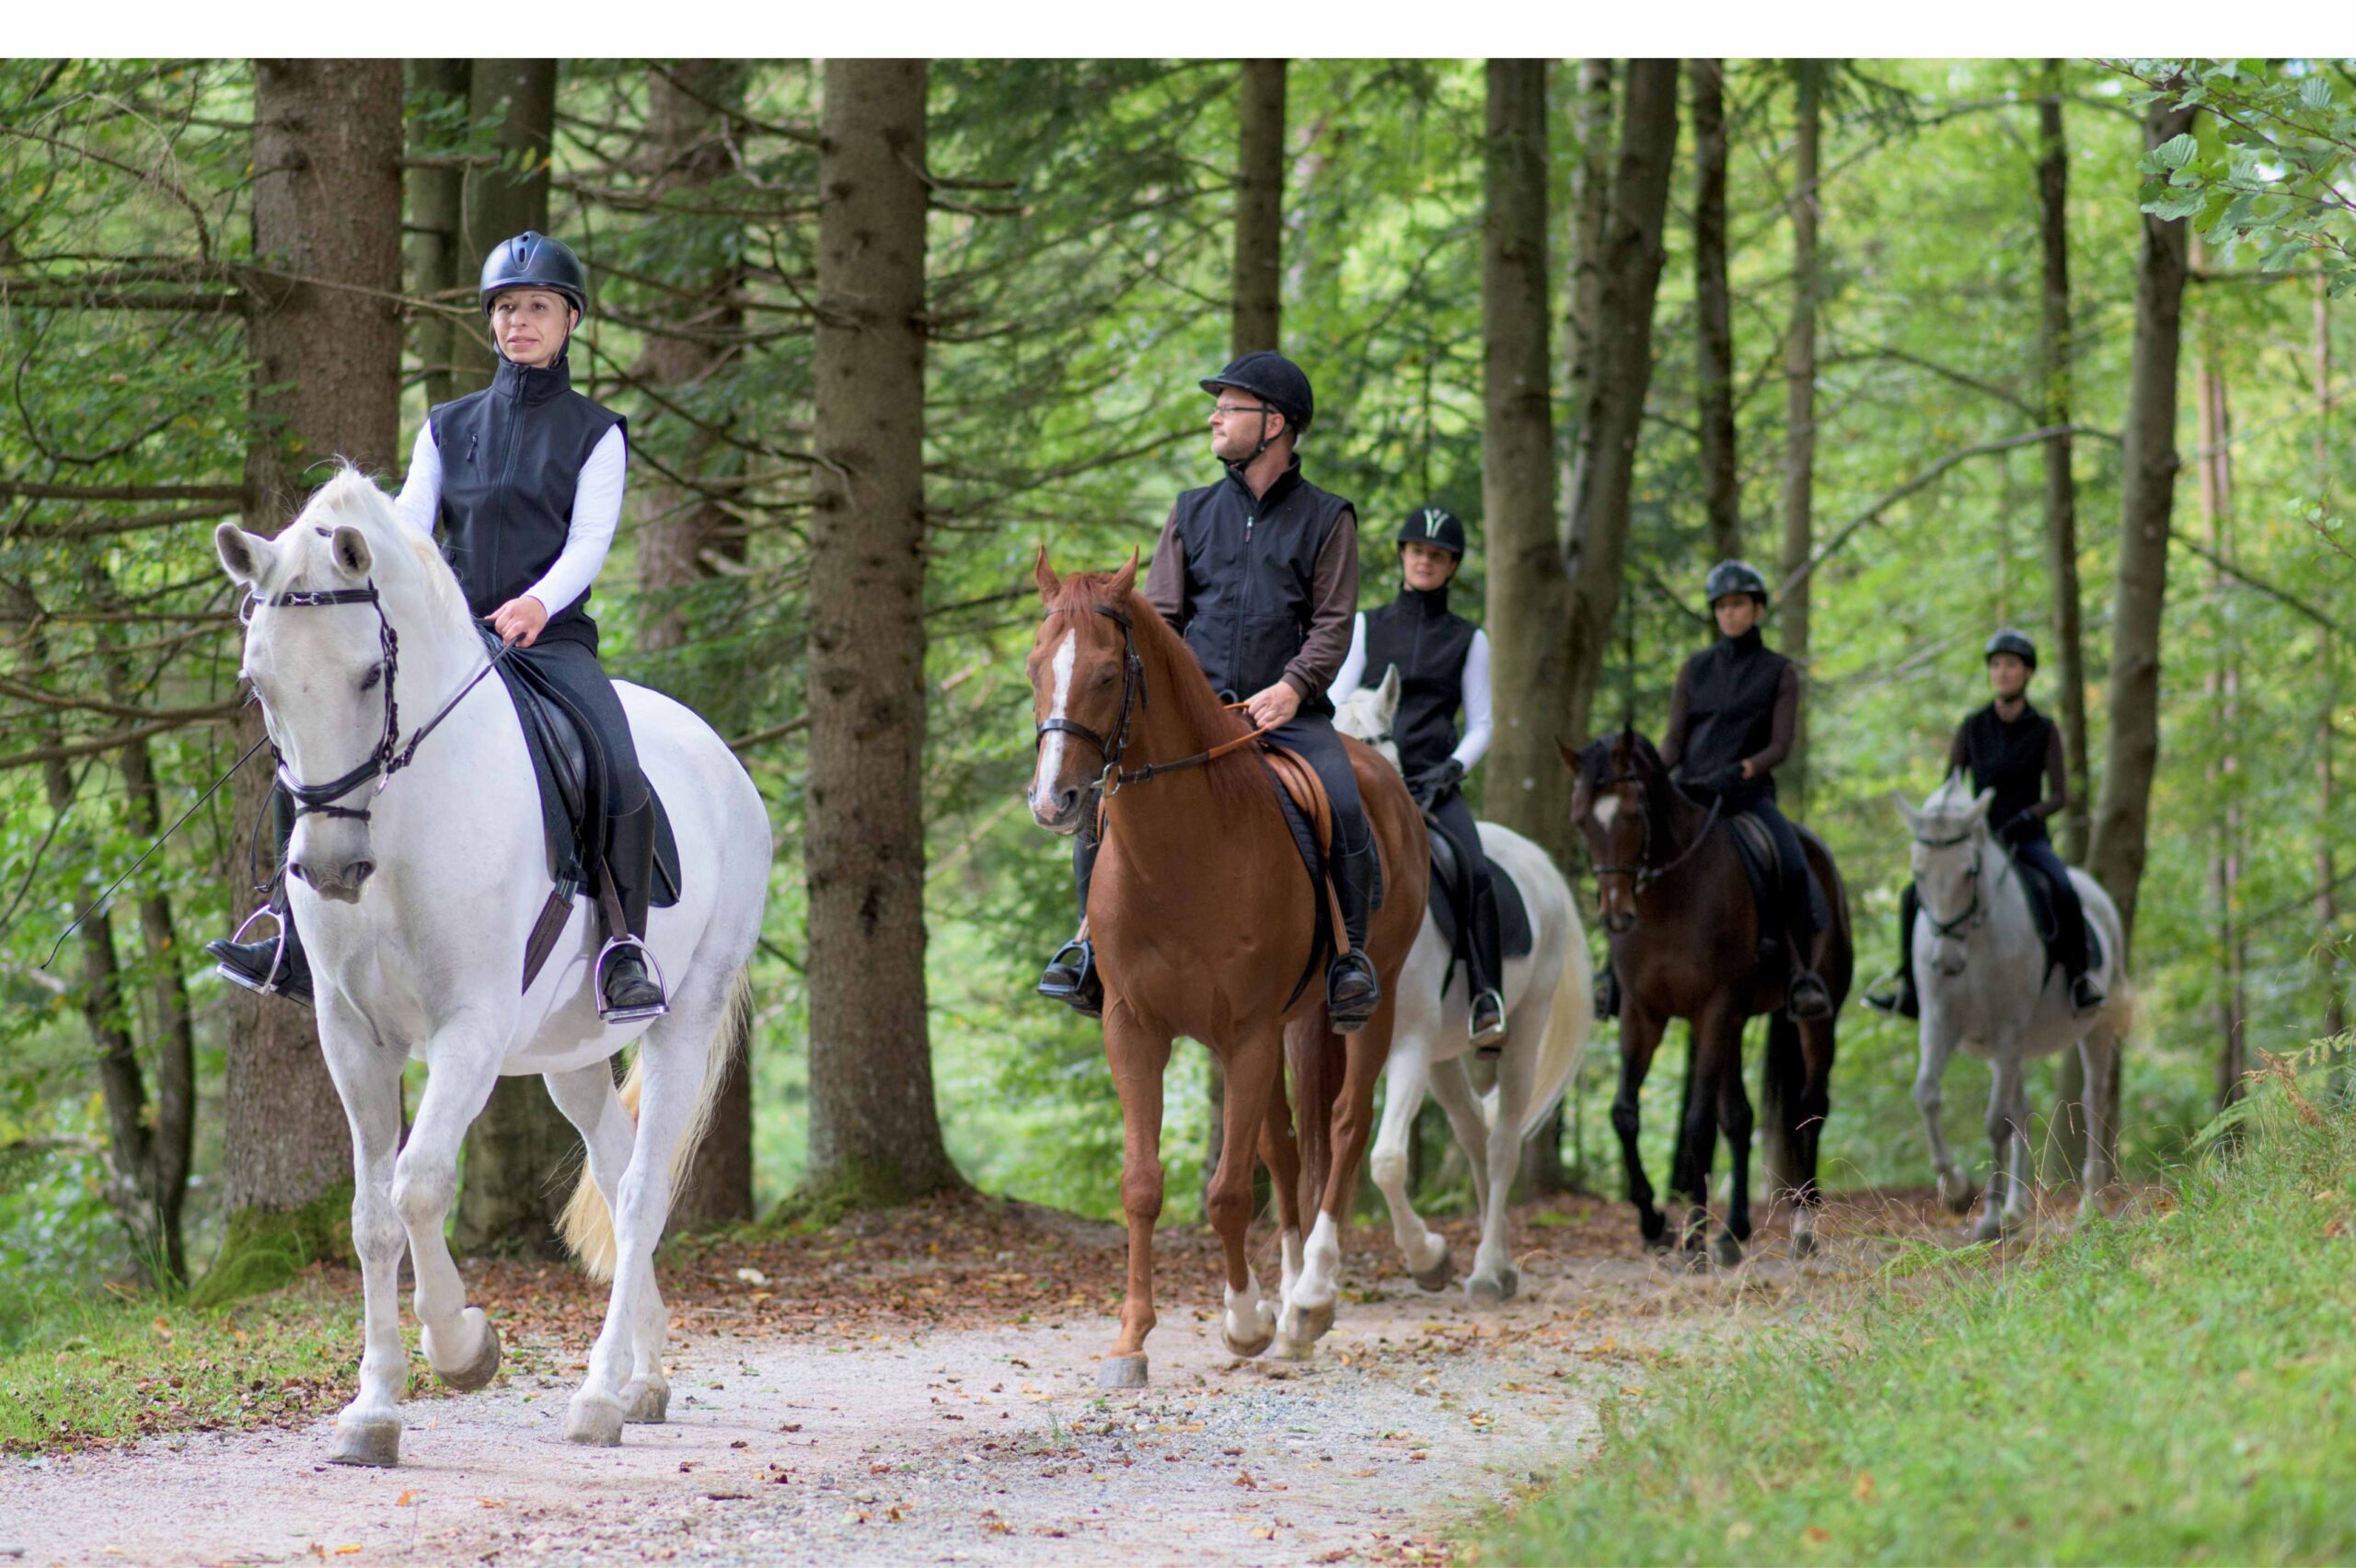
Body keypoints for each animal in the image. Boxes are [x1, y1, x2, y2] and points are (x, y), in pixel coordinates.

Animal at [209, 466, 763, 1469]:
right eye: (256, 681)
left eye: (368, 673)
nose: (332, 869)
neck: (402, 816)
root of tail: (722, 761)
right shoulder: (353, 1036)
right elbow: (372, 1215)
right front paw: (373, 1412)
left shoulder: (468, 1027)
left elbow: (421, 1184)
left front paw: (464, 1346)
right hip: (569, 1055)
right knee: (615, 1168)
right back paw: (644, 1378)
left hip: (686, 1019)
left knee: (641, 1190)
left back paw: (598, 1398)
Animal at [1027, 546, 1423, 1384]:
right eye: (1035, 666)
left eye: (1106, 674)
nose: (1054, 802)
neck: (1180, 853)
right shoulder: (1135, 1027)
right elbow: (1144, 1185)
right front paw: (1132, 1340)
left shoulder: (1245, 1034)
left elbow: (1229, 1192)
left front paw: (1245, 1322)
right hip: (1287, 1026)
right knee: (1288, 1143)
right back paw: (1291, 1296)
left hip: (1367, 1004)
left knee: (1345, 1126)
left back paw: (1311, 1298)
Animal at [1338, 668, 1592, 1290]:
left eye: (1377, 742)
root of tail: (1539, 863)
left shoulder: (1407, 1043)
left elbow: (1386, 1161)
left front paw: (1427, 1257)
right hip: (1443, 1057)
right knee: (1475, 1135)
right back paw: (1496, 1263)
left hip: (1522, 1030)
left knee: (1502, 1145)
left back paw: (1485, 1271)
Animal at [1574, 725, 1847, 1262]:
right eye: (1581, 821)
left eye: (1633, 814)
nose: (1616, 915)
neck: (1668, 897)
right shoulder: (1643, 1013)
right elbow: (1625, 1113)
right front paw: (1655, 1222)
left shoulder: (1713, 1009)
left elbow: (1698, 1124)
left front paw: (1694, 1237)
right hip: (1736, 1024)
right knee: (1740, 1118)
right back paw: (1734, 1232)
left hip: (1813, 1018)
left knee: (1810, 1106)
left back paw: (1803, 1227)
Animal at [1903, 767, 2130, 1233]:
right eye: (1918, 873)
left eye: (1969, 871)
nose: (1945, 962)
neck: (1974, 941)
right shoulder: (1939, 1024)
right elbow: (1927, 1094)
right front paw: (1957, 1189)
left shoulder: (2008, 1028)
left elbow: (1995, 1122)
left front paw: (1987, 1218)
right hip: (2008, 1048)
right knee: (2021, 1109)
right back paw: (2017, 1208)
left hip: (2092, 1028)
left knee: (2094, 1100)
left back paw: (2090, 1203)